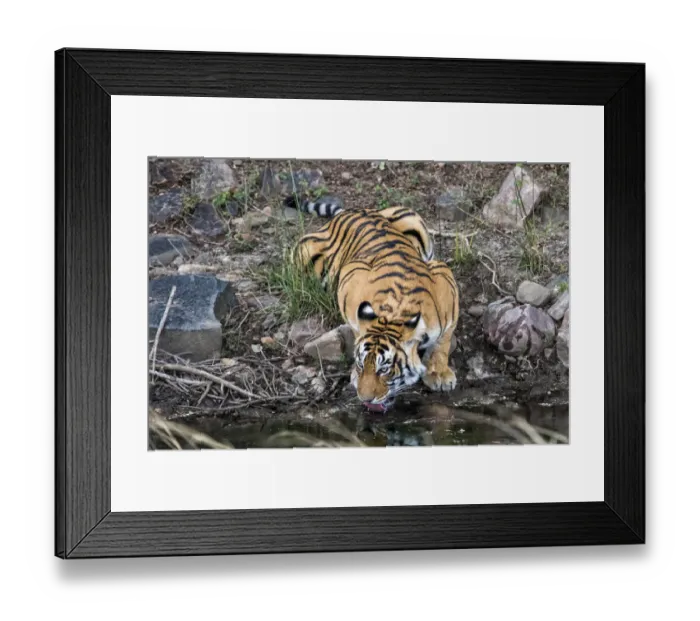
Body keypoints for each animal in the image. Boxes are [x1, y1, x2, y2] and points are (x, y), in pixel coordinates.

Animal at [284, 194, 459, 412]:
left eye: (384, 370)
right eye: (361, 365)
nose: (364, 398)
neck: (395, 313)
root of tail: (349, 211)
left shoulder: (446, 283)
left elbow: (443, 342)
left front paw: (439, 373)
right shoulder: (351, 277)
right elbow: (357, 328)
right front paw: (354, 375)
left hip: (412, 217)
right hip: (302, 252)